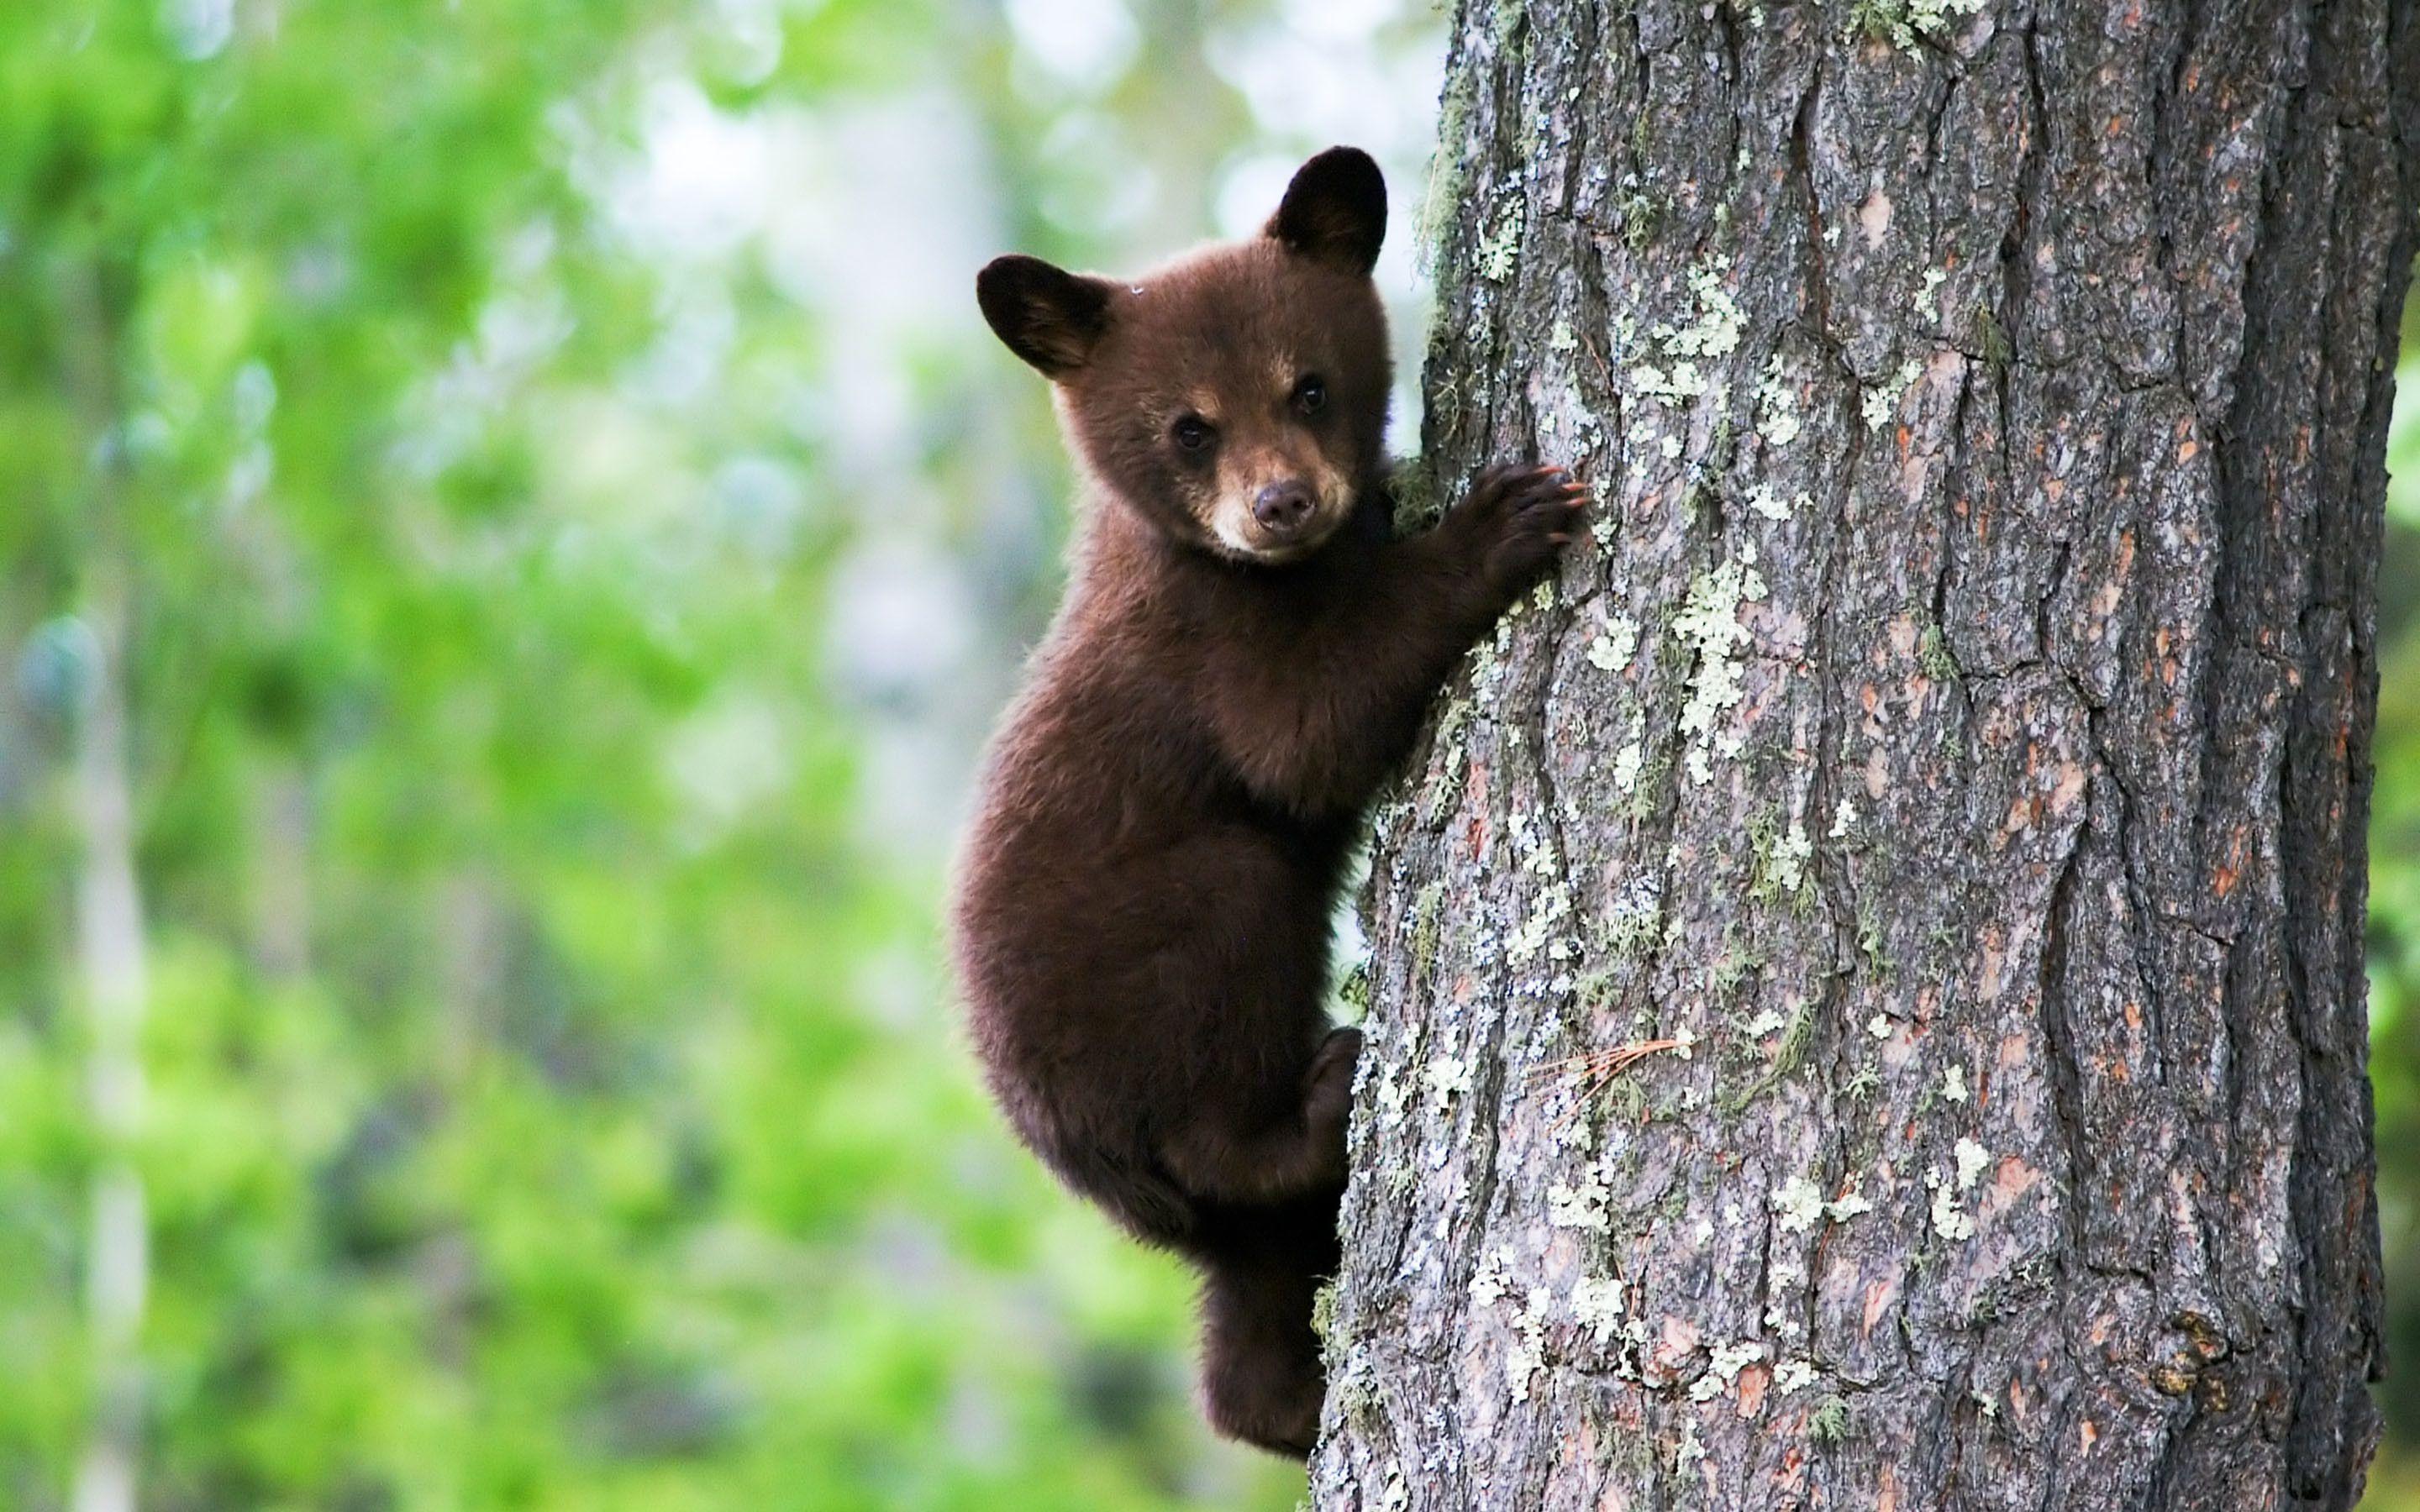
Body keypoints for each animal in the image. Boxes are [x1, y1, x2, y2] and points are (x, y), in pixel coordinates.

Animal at [949, 145, 1584, 1459]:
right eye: (1189, 427)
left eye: (1310, 388)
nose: (1282, 504)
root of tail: (1073, 1157)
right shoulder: (1206, 644)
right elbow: (1307, 735)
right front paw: (1499, 522)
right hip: (1158, 966)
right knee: (1225, 1039)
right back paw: (1323, 1092)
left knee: (1248, 1296)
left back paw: (1284, 1403)